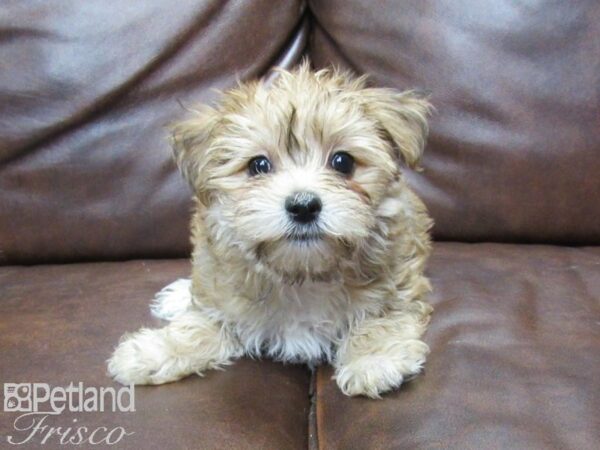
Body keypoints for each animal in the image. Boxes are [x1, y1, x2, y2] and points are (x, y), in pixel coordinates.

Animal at [106, 62, 432, 398]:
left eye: (343, 162)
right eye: (258, 165)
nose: (303, 206)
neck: (303, 274)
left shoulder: (399, 284)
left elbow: (384, 317)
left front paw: (374, 358)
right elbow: (199, 326)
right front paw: (152, 352)